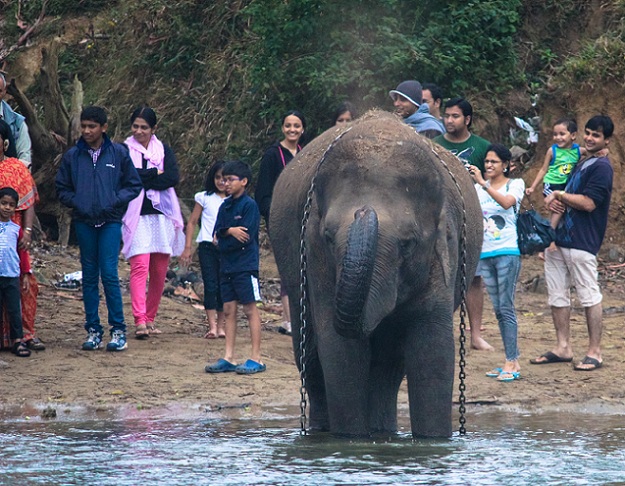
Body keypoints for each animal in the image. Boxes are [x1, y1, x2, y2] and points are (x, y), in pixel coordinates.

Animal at [270, 112, 482, 438]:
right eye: (329, 236)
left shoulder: (445, 250)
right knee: (311, 359)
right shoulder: (314, 253)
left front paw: (432, 441)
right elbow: (341, 354)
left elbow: (433, 353)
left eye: (408, 243)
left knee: (388, 366)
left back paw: (383, 432)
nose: (363, 211)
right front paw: (351, 440)